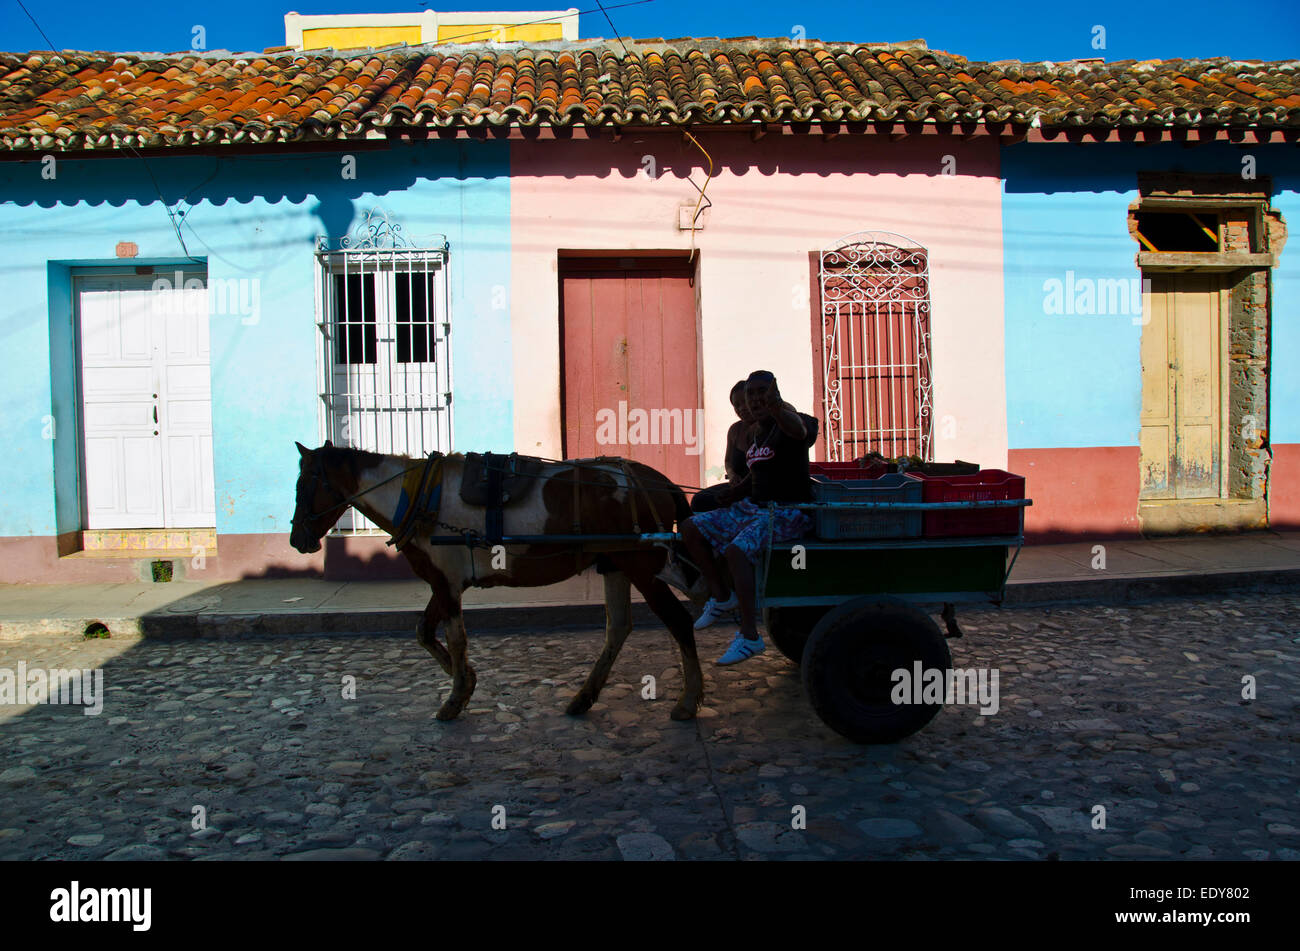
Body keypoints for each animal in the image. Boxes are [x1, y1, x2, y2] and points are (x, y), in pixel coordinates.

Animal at [289, 444, 707, 722]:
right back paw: (584, 698)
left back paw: (689, 700)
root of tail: (658, 481)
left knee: (679, 619)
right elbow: (424, 631)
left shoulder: (447, 582)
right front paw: (466, 680)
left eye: (304, 483)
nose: (297, 540)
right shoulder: (444, 582)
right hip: (616, 564)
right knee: (619, 627)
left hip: (643, 565)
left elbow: (455, 637)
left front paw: (455, 697)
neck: (420, 496)